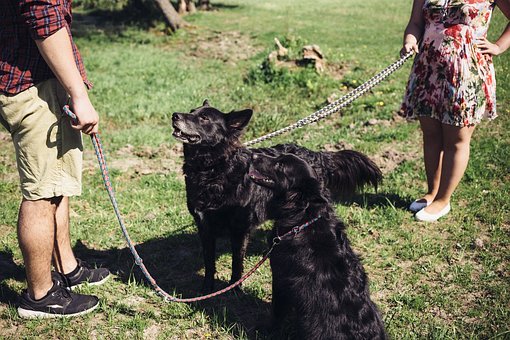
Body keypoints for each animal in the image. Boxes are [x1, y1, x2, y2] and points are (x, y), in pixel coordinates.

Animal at [172, 99, 382, 292]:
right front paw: (207, 288)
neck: (212, 170)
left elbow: (237, 262)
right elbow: (209, 262)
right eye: (192, 111)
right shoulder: (204, 226)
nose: (174, 115)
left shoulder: (239, 228)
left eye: (204, 118)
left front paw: (234, 289)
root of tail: (318, 155)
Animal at [248, 154, 386, 340]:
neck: (303, 218)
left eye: (281, 165)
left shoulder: (279, 276)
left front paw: (267, 329)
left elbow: (277, 310)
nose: (253, 155)